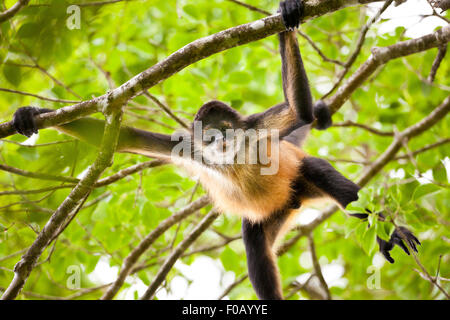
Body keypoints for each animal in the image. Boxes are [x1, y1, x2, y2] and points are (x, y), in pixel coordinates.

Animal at [9, 0, 418, 300]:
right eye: (207, 136)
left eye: (224, 130)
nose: (218, 140)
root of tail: (295, 199)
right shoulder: (188, 148)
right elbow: (121, 138)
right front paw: (31, 114)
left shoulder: (256, 128)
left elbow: (300, 111)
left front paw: (288, 13)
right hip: (274, 212)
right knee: (255, 247)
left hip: (300, 181)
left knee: (321, 174)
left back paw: (392, 232)